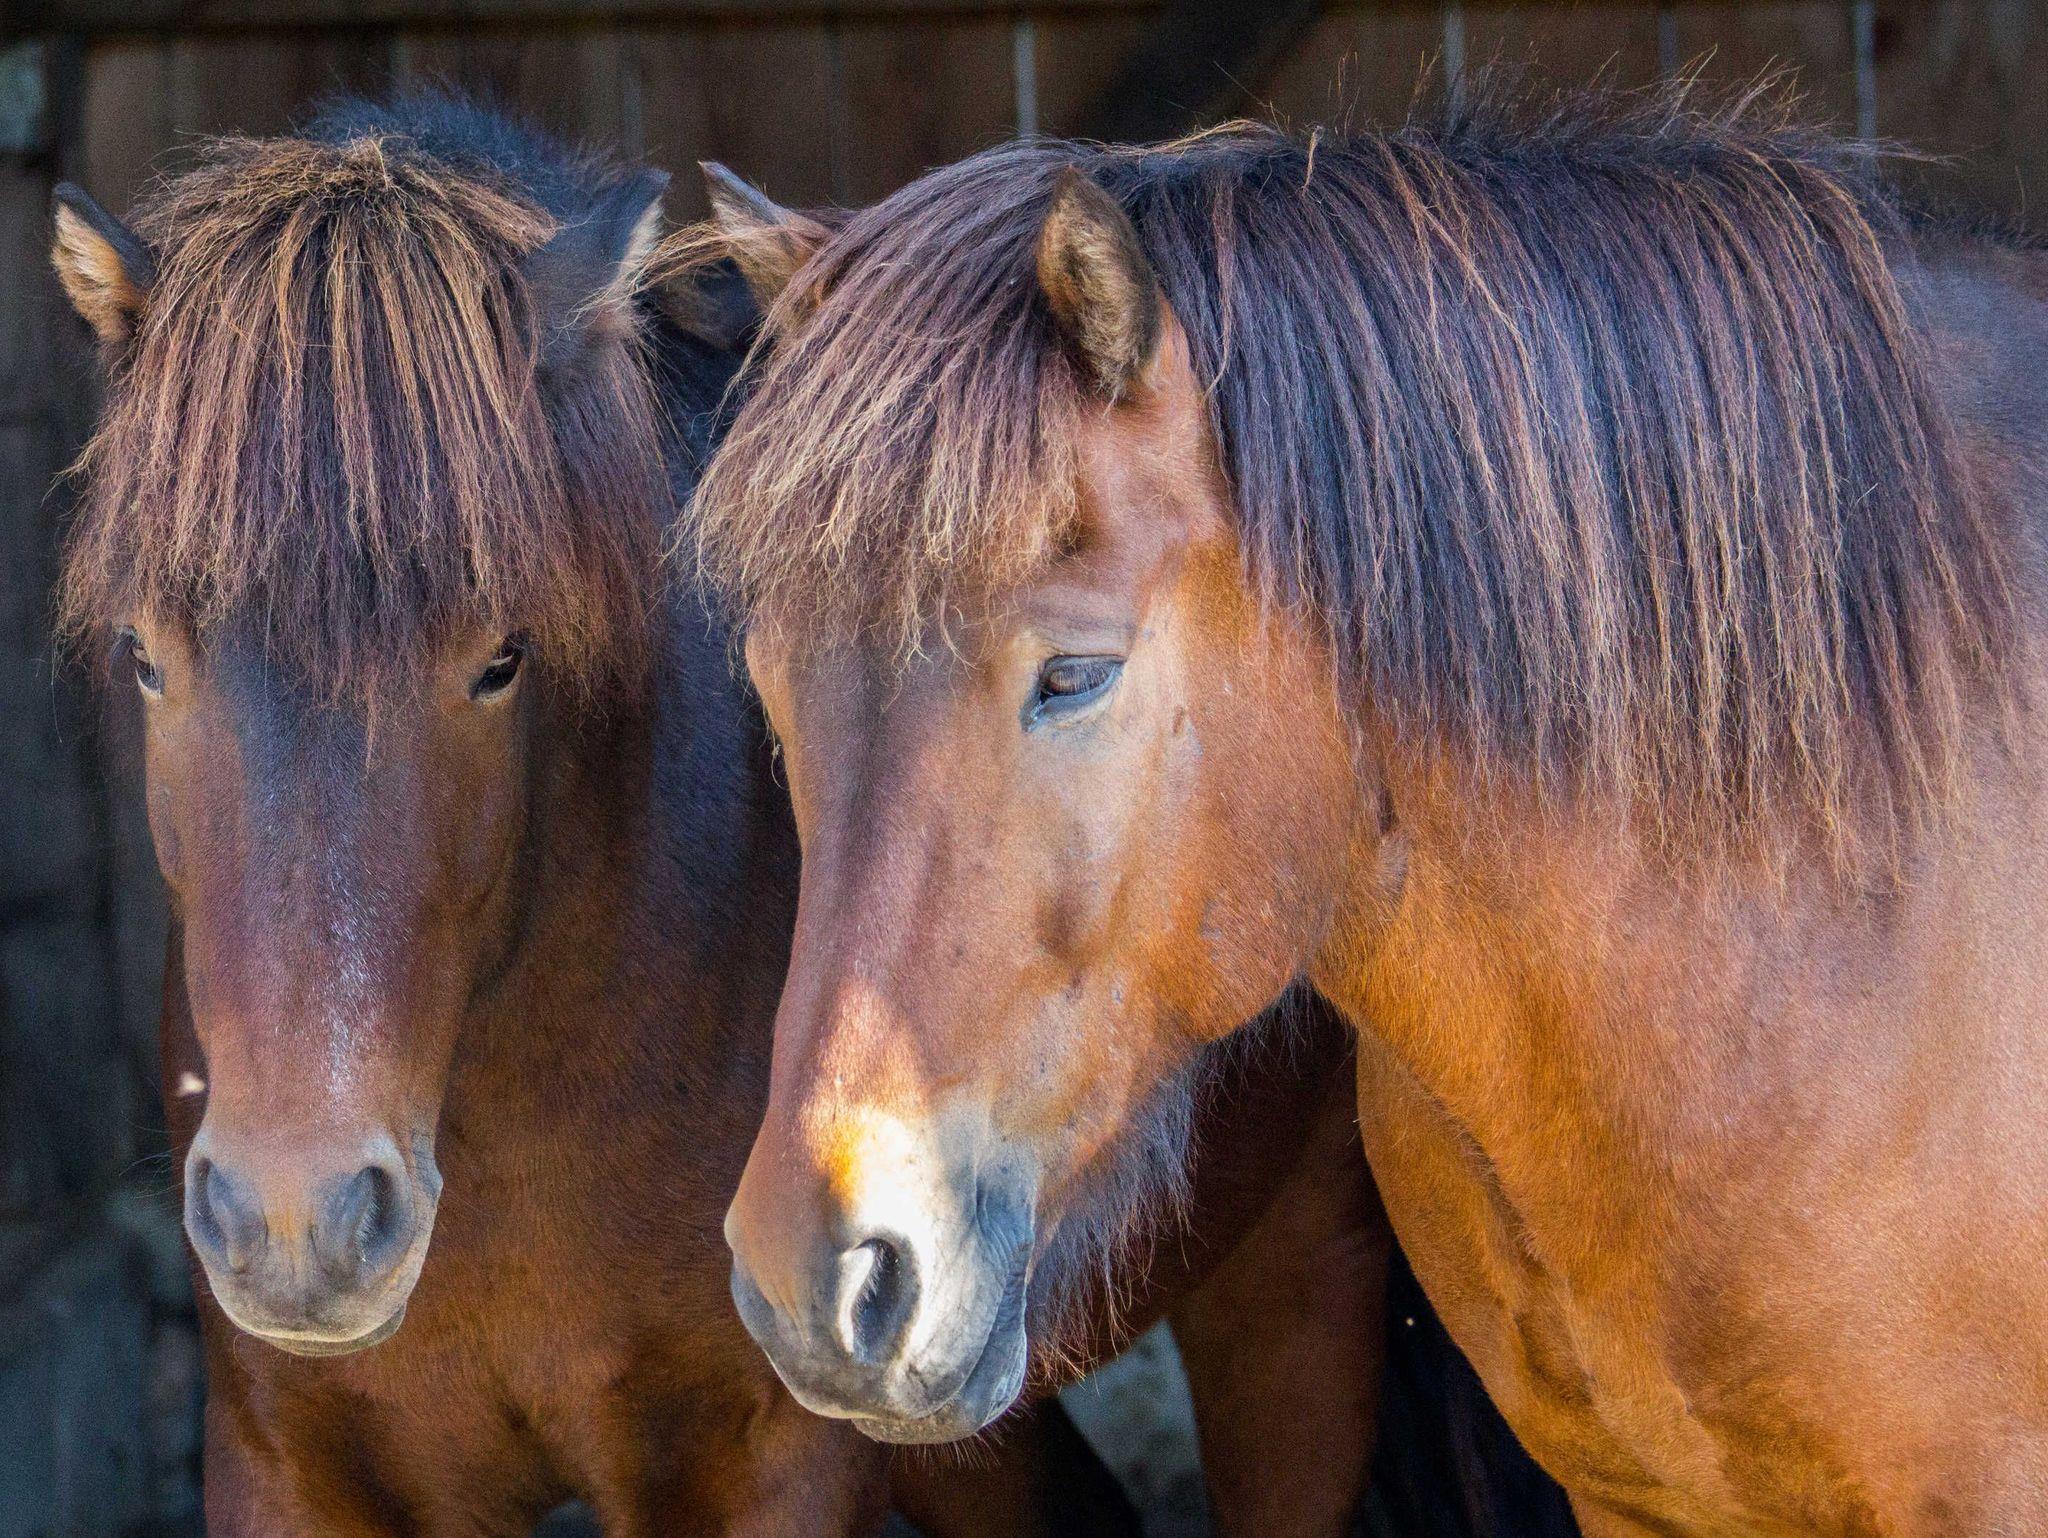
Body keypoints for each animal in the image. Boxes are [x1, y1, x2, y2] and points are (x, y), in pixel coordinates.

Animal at [48, 94, 1420, 1538]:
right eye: (146, 656)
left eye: (500, 658)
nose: (296, 1223)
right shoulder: (290, 1464)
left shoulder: (767, 1462)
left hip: (1296, 1282)